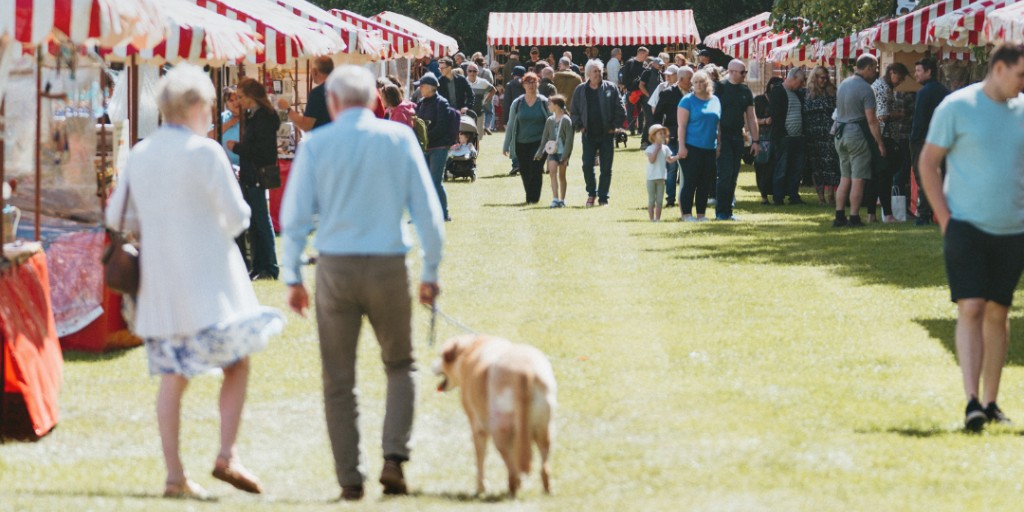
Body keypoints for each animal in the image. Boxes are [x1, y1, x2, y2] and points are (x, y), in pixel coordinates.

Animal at [434, 331, 557, 495]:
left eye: (441, 356)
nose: (432, 365)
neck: (470, 349)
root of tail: (524, 372)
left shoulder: (478, 428)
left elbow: (480, 457)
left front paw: (481, 487)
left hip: (500, 431)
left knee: (512, 468)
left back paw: (512, 488)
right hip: (543, 430)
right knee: (543, 466)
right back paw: (545, 488)